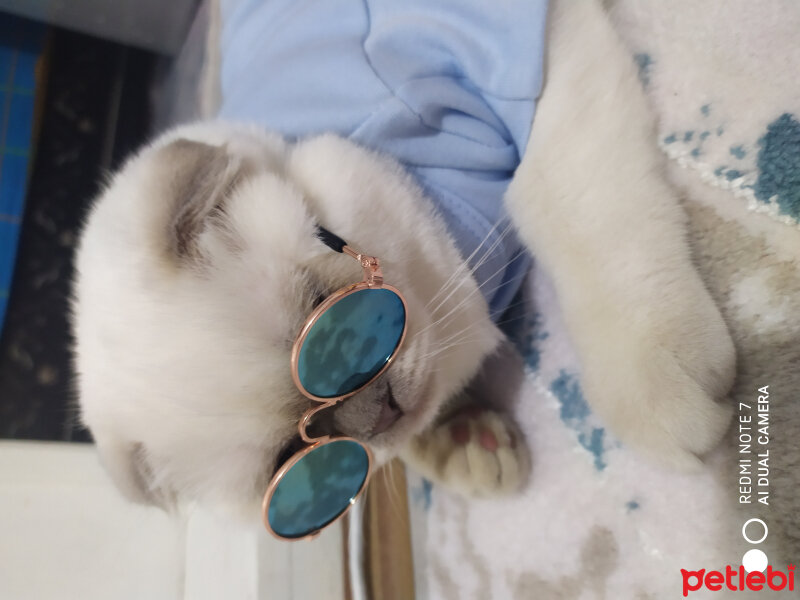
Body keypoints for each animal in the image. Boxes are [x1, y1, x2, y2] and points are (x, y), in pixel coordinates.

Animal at [72, 0, 736, 516]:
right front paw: (466, 443)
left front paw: (662, 403)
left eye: (326, 323)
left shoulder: (534, 62)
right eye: (295, 456)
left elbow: (560, 202)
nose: (381, 418)